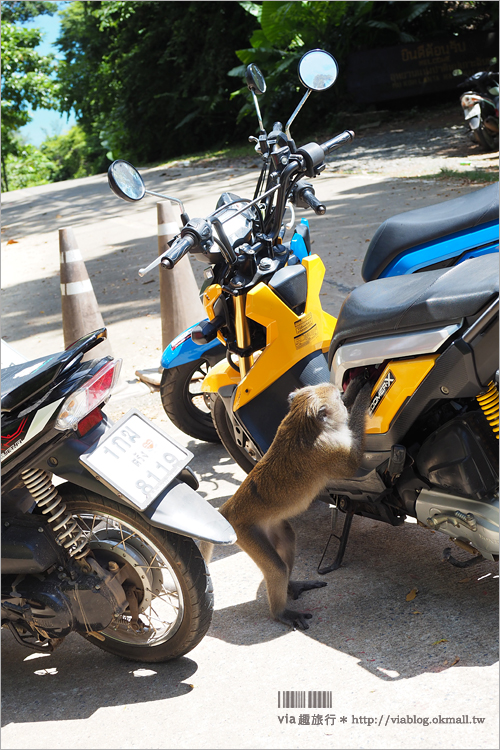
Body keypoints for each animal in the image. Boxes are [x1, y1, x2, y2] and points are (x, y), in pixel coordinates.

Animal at [202, 378, 372, 632]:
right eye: (338, 402)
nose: (343, 398)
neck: (303, 422)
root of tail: (227, 510)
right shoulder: (329, 450)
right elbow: (353, 462)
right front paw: (362, 395)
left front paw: (354, 388)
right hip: (246, 532)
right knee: (277, 569)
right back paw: (280, 612)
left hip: (268, 524)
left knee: (288, 540)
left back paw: (291, 586)